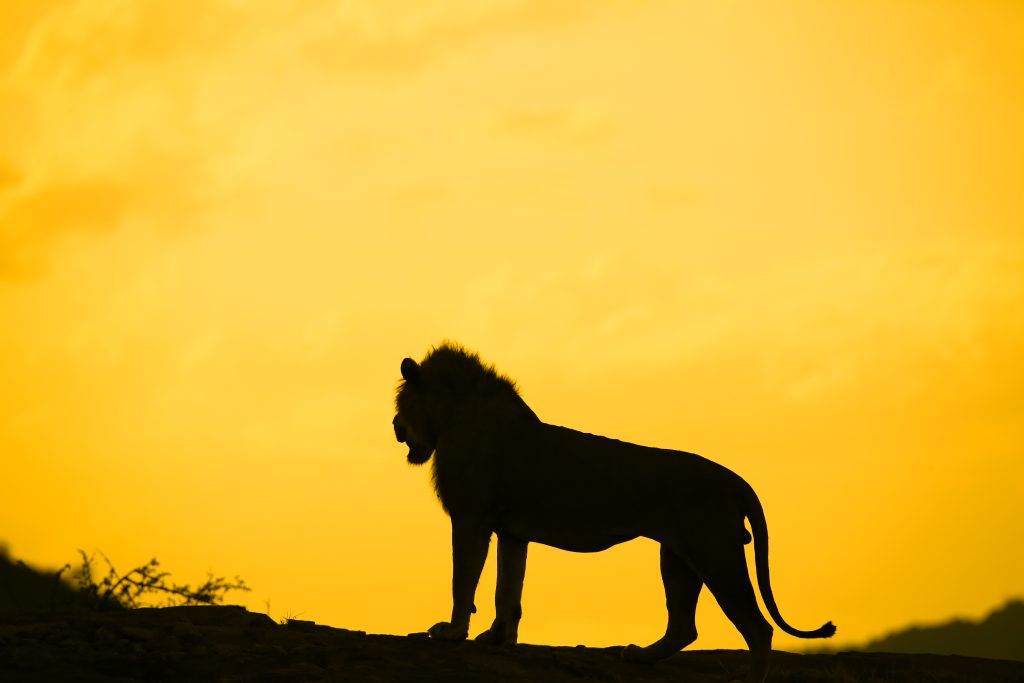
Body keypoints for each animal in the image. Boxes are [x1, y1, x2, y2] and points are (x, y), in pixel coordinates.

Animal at [391, 342, 831, 683]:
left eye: (401, 404)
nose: (394, 426)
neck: (452, 416)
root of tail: (736, 480)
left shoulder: (470, 518)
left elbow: (463, 579)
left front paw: (451, 633)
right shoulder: (512, 533)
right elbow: (507, 591)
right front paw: (497, 639)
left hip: (714, 552)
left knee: (758, 628)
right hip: (678, 557)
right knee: (684, 627)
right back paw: (638, 655)